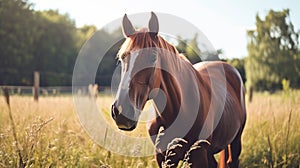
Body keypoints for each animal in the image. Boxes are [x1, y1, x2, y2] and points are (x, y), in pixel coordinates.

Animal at [110, 12, 246, 168]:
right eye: (122, 58)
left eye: (153, 58)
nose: (121, 112)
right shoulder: (163, 157)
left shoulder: (198, 157)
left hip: (235, 141)